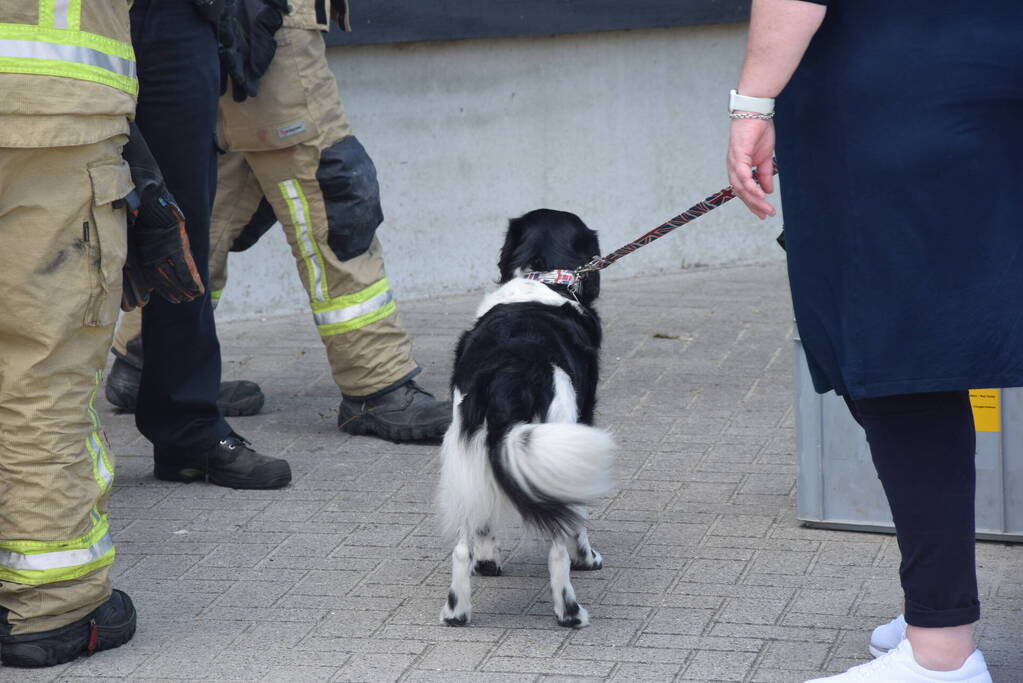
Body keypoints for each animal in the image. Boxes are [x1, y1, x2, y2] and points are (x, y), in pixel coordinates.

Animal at [435, 209, 609, 629]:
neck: (542, 276)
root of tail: (510, 371)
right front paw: (588, 558)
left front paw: (488, 561)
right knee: (557, 549)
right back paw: (571, 613)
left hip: (464, 451)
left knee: (461, 547)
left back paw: (457, 610)